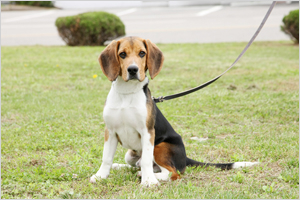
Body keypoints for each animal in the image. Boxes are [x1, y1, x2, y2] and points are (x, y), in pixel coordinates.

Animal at [89, 36, 258, 187]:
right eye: (122, 54)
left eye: (142, 53)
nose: (132, 70)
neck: (127, 93)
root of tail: (185, 157)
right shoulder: (110, 132)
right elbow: (106, 158)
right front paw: (100, 176)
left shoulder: (147, 132)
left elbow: (146, 161)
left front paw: (149, 181)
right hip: (130, 154)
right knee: (139, 165)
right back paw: (121, 167)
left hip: (159, 147)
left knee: (172, 172)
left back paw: (147, 175)